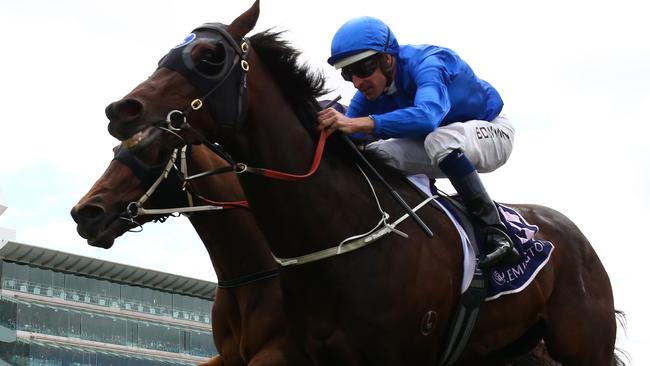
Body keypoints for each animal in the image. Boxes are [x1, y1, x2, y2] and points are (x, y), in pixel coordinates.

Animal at [101, 1, 616, 364]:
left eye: (209, 57)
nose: (120, 110)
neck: (336, 231)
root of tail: (571, 232)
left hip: (584, 344)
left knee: (443, 140)